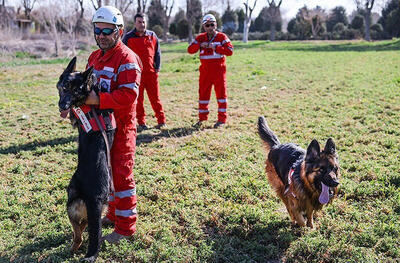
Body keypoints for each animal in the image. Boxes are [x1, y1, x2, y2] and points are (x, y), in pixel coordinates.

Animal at [55, 57, 114, 262]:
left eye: (75, 91)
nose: (63, 107)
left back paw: (73, 247)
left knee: (78, 233)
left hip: (70, 201)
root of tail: (94, 198)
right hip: (100, 206)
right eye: (65, 87)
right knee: (86, 225)